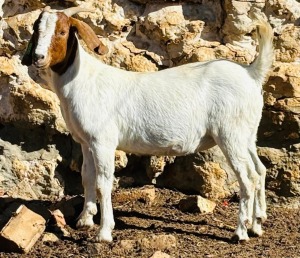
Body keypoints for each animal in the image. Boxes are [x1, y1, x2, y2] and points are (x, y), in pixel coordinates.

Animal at [21, 6, 274, 243]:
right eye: (36, 29)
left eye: (62, 32)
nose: (38, 57)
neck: (82, 80)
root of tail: (251, 74)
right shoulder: (85, 141)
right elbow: (87, 177)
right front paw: (85, 220)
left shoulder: (103, 141)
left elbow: (103, 183)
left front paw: (104, 231)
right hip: (247, 134)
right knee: (260, 170)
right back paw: (257, 225)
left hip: (230, 134)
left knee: (248, 178)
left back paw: (240, 231)